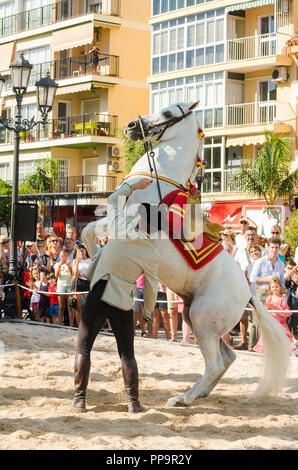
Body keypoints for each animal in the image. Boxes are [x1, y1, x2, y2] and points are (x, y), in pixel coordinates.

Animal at [81, 103, 288, 408]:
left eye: (168, 114)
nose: (131, 126)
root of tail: (247, 294)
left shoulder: (123, 223)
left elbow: (89, 231)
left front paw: (90, 266)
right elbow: (88, 231)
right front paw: (92, 266)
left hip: (202, 321)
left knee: (215, 363)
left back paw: (182, 399)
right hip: (196, 318)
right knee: (227, 358)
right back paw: (199, 394)